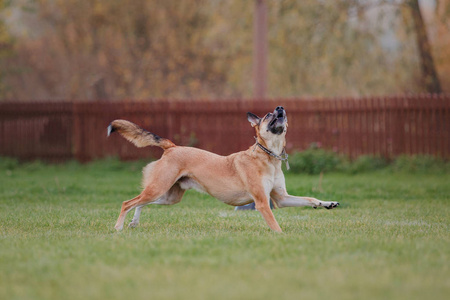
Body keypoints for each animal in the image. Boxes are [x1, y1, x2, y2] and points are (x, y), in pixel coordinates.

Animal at [108, 106, 338, 233]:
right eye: (267, 115)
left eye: (280, 112)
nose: (281, 108)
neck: (267, 158)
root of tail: (172, 147)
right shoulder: (263, 203)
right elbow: (275, 225)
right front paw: (282, 237)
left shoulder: (280, 199)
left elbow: (308, 199)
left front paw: (326, 203)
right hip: (159, 187)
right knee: (128, 202)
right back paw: (118, 228)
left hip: (169, 196)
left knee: (141, 203)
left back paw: (134, 222)